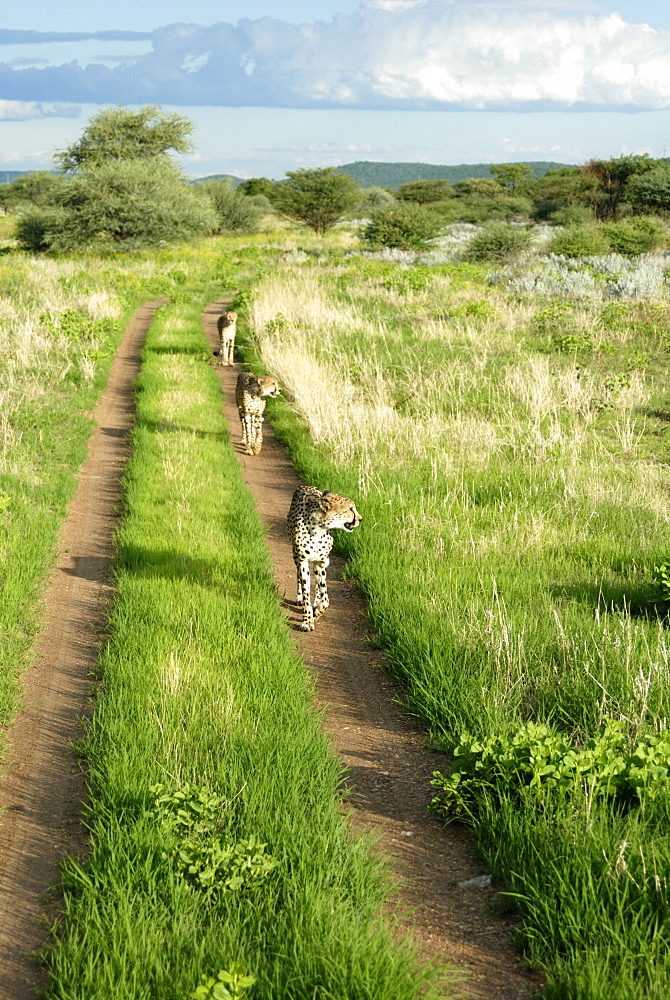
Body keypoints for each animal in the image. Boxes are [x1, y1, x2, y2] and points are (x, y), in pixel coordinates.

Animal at [288, 484, 362, 632]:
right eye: (350, 508)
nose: (360, 519)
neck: (319, 528)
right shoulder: (302, 561)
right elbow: (306, 593)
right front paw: (308, 620)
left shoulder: (320, 562)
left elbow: (325, 597)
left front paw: (317, 611)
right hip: (296, 557)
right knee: (299, 577)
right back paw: (300, 597)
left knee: (318, 586)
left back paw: (316, 602)